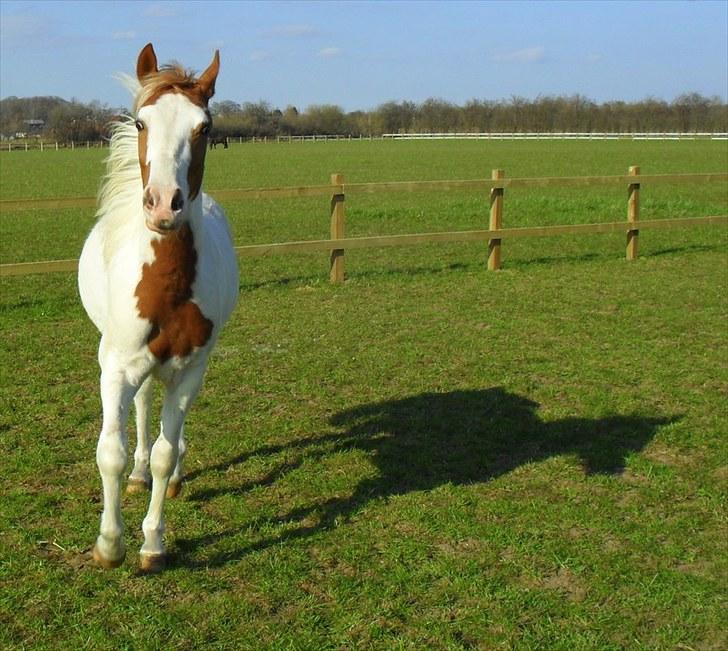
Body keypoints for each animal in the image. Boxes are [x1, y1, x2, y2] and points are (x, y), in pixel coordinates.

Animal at [79, 43, 239, 572]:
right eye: (141, 121)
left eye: (204, 126)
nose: (165, 204)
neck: (167, 286)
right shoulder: (115, 366)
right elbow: (111, 451)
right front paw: (109, 545)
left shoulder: (189, 370)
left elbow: (168, 450)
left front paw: (152, 544)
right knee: (143, 407)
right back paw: (138, 474)